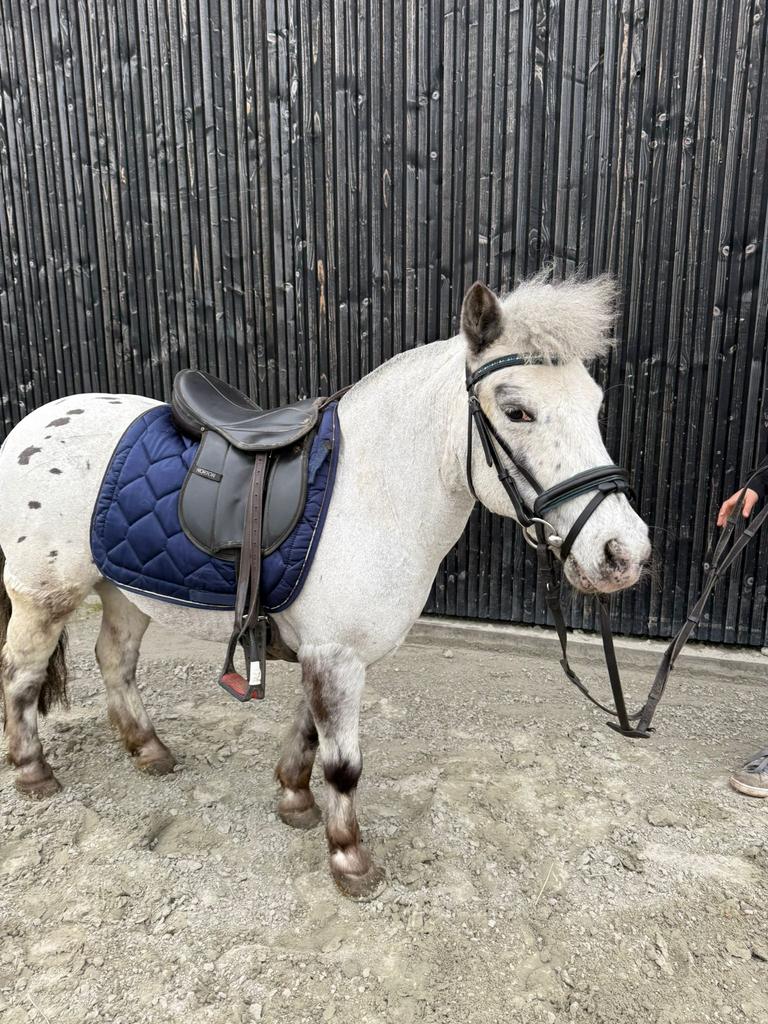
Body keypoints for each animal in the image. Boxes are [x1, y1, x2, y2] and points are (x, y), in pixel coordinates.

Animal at [0, 276, 651, 898]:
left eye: (594, 405)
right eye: (517, 411)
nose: (624, 552)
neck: (373, 493)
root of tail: (34, 423)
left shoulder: (325, 651)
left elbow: (308, 734)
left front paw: (294, 799)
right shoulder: (336, 655)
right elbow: (343, 765)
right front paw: (349, 859)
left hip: (123, 588)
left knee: (115, 659)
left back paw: (148, 749)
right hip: (43, 596)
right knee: (21, 674)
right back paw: (33, 771)